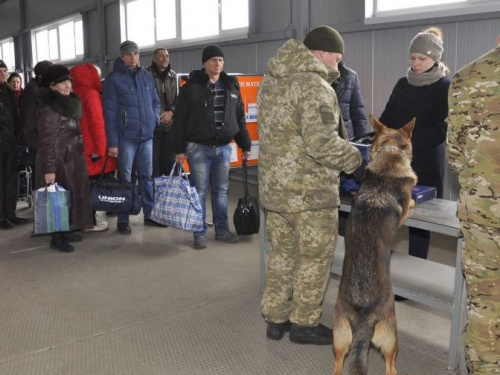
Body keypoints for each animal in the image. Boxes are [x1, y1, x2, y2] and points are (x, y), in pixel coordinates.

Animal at [332, 115, 418, 375]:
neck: (389, 155)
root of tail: (362, 320)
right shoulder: (403, 211)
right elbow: (409, 201)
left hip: (339, 337)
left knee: (338, 365)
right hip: (391, 336)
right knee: (390, 365)